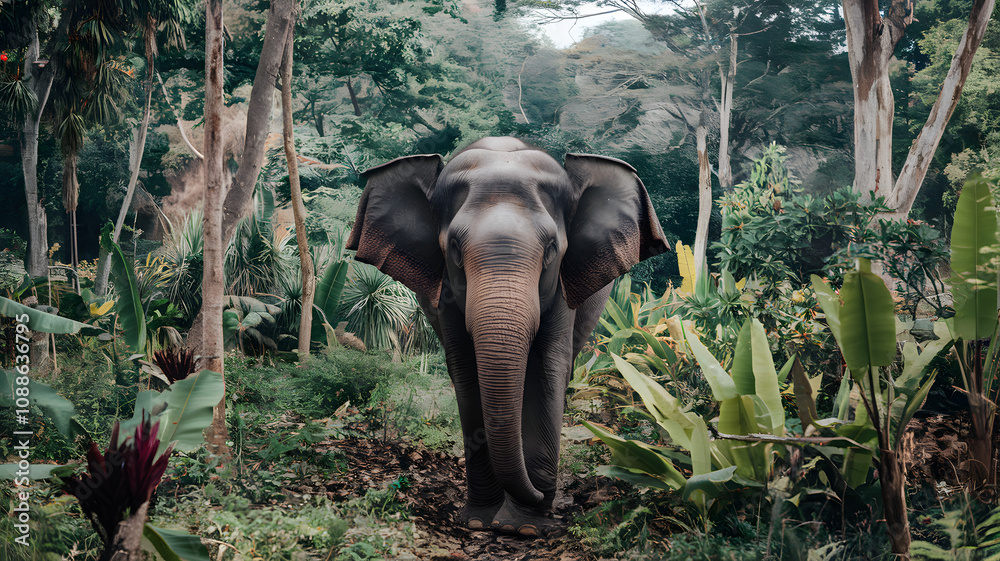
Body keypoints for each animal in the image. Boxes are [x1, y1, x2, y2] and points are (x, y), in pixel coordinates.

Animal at [347, 136, 667, 537]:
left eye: (551, 249)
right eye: (454, 247)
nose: (544, 495)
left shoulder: (563, 287)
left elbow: (547, 367)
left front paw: (525, 527)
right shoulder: (446, 294)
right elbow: (465, 371)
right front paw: (481, 522)